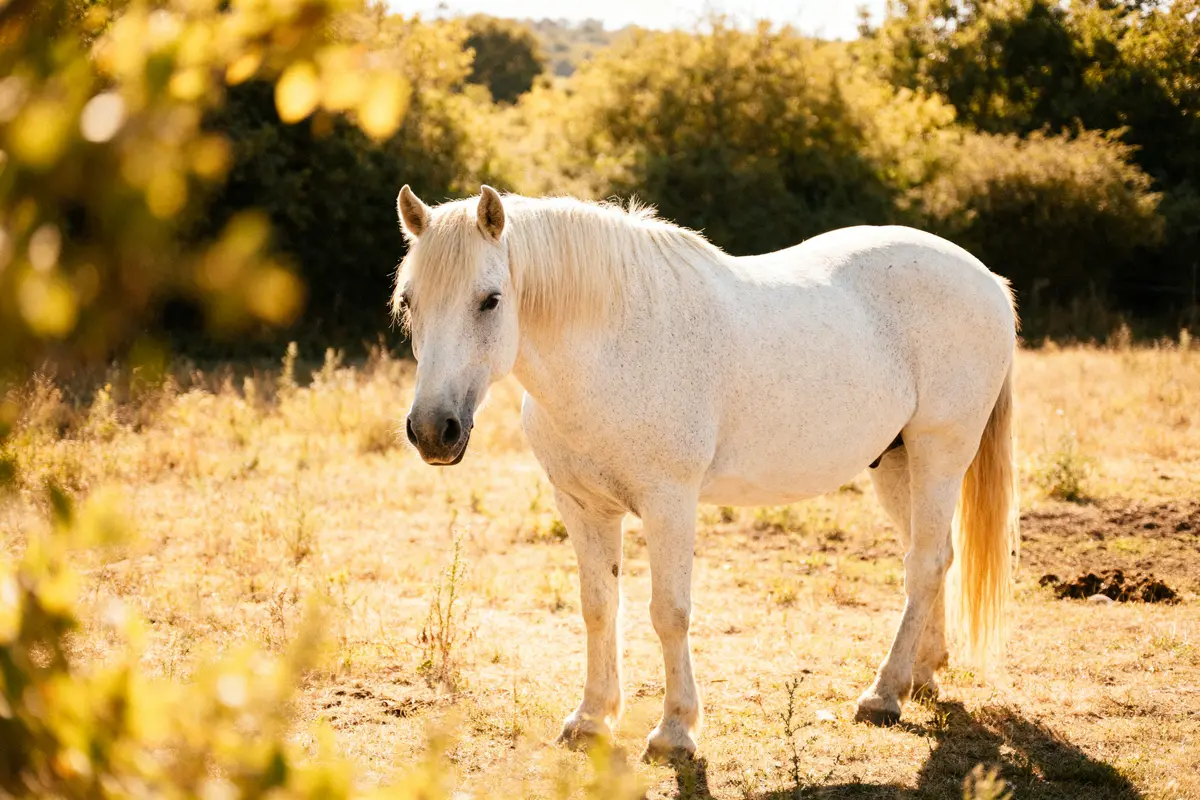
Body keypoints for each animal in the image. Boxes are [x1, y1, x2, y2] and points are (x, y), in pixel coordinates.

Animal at [392, 185, 1019, 761]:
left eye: (490, 300)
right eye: (409, 301)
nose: (433, 430)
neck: (615, 347)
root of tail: (986, 278)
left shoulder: (669, 503)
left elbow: (669, 613)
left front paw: (674, 732)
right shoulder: (583, 506)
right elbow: (598, 606)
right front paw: (591, 720)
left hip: (940, 452)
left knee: (924, 563)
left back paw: (883, 695)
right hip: (896, 462)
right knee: (933, 558)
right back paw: (922, 675)